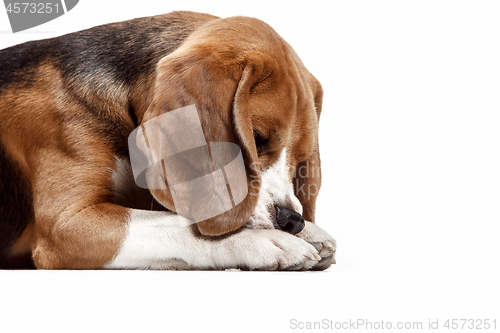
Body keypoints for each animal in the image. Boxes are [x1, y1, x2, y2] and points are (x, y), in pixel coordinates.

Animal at [0, 11, 336, 270]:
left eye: (300, 159)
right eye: (256, 138)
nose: (291, 221)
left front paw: (310, 231)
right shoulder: (67, 223)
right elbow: (174, 224)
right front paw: (262, 241)